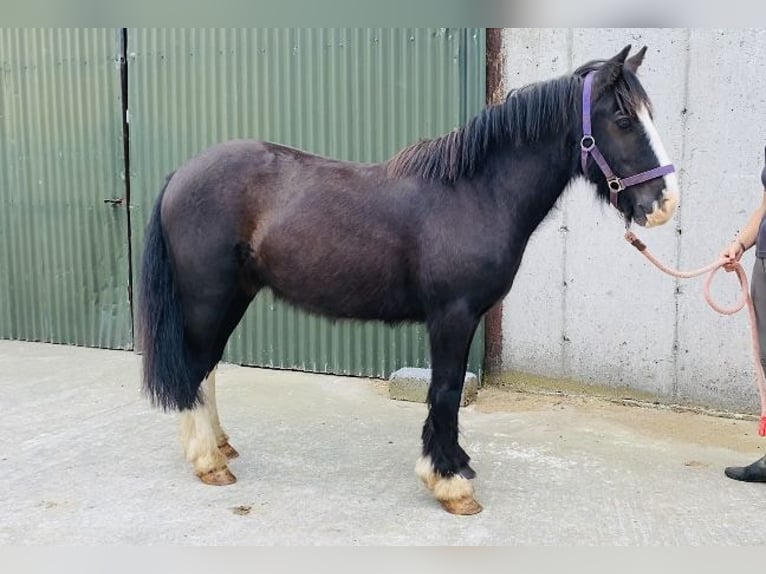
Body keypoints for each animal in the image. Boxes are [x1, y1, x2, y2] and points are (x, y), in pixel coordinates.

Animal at [136, 42, 680, 516]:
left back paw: (219, 447)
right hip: (208, 297)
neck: (475, 193)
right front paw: (450, 485)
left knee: (206, 368)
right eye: (624, 119)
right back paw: (208, 462)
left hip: (234, 295)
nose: (665, 203)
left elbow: (450, 394)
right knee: (195, 366)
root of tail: (181, 173)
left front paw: (457, 465)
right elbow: (445, 392)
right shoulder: (452, 316)